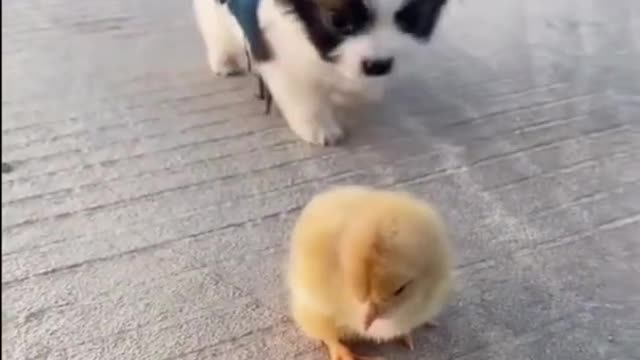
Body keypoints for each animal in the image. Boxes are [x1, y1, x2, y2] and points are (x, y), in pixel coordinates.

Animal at [192, 0, 448, 145]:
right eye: (338, 21)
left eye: (413, 19)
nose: (379, 65)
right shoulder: (276, 48)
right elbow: (300, 92)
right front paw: (319, 127)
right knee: (215, 28)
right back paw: (224, 62)